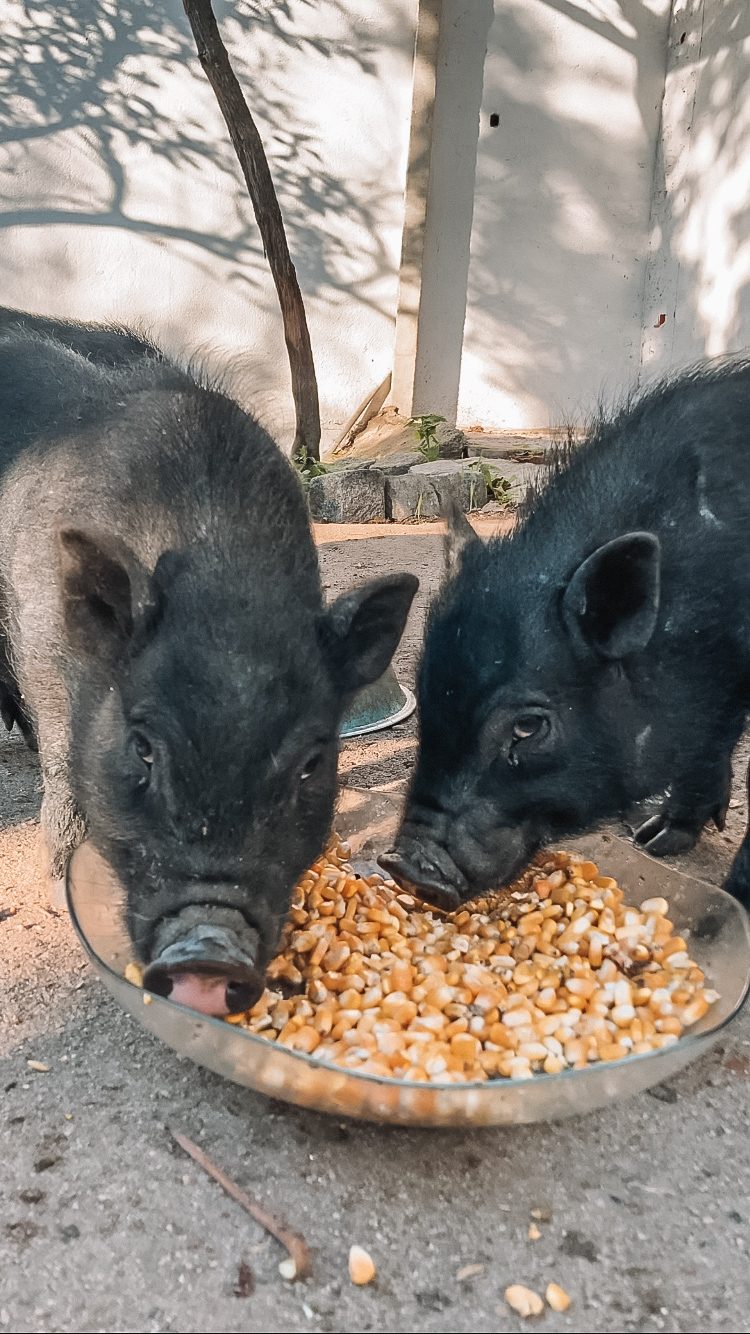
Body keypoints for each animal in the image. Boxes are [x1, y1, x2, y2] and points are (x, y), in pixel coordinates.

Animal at [0, 308, 418, 1013]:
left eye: (312, 763)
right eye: (142, 747)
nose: (210, 955)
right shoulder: (40, 648)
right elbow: (60, 762)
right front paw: (61, 887)